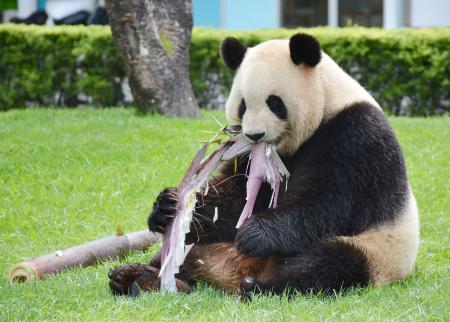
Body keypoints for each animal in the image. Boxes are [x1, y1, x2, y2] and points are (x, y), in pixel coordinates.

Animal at [108, 34, 418, 298]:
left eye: (274, 103)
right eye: (243, 105)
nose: (255, 135)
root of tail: (227, 274)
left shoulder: (356, 135)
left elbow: (333, 202)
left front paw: (254, 234)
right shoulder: (251, 155)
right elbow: (232, 199)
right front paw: (167, 207)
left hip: (377, 251)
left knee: (330, 264)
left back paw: (258, 286)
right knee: (183, 250)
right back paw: (137, 278)